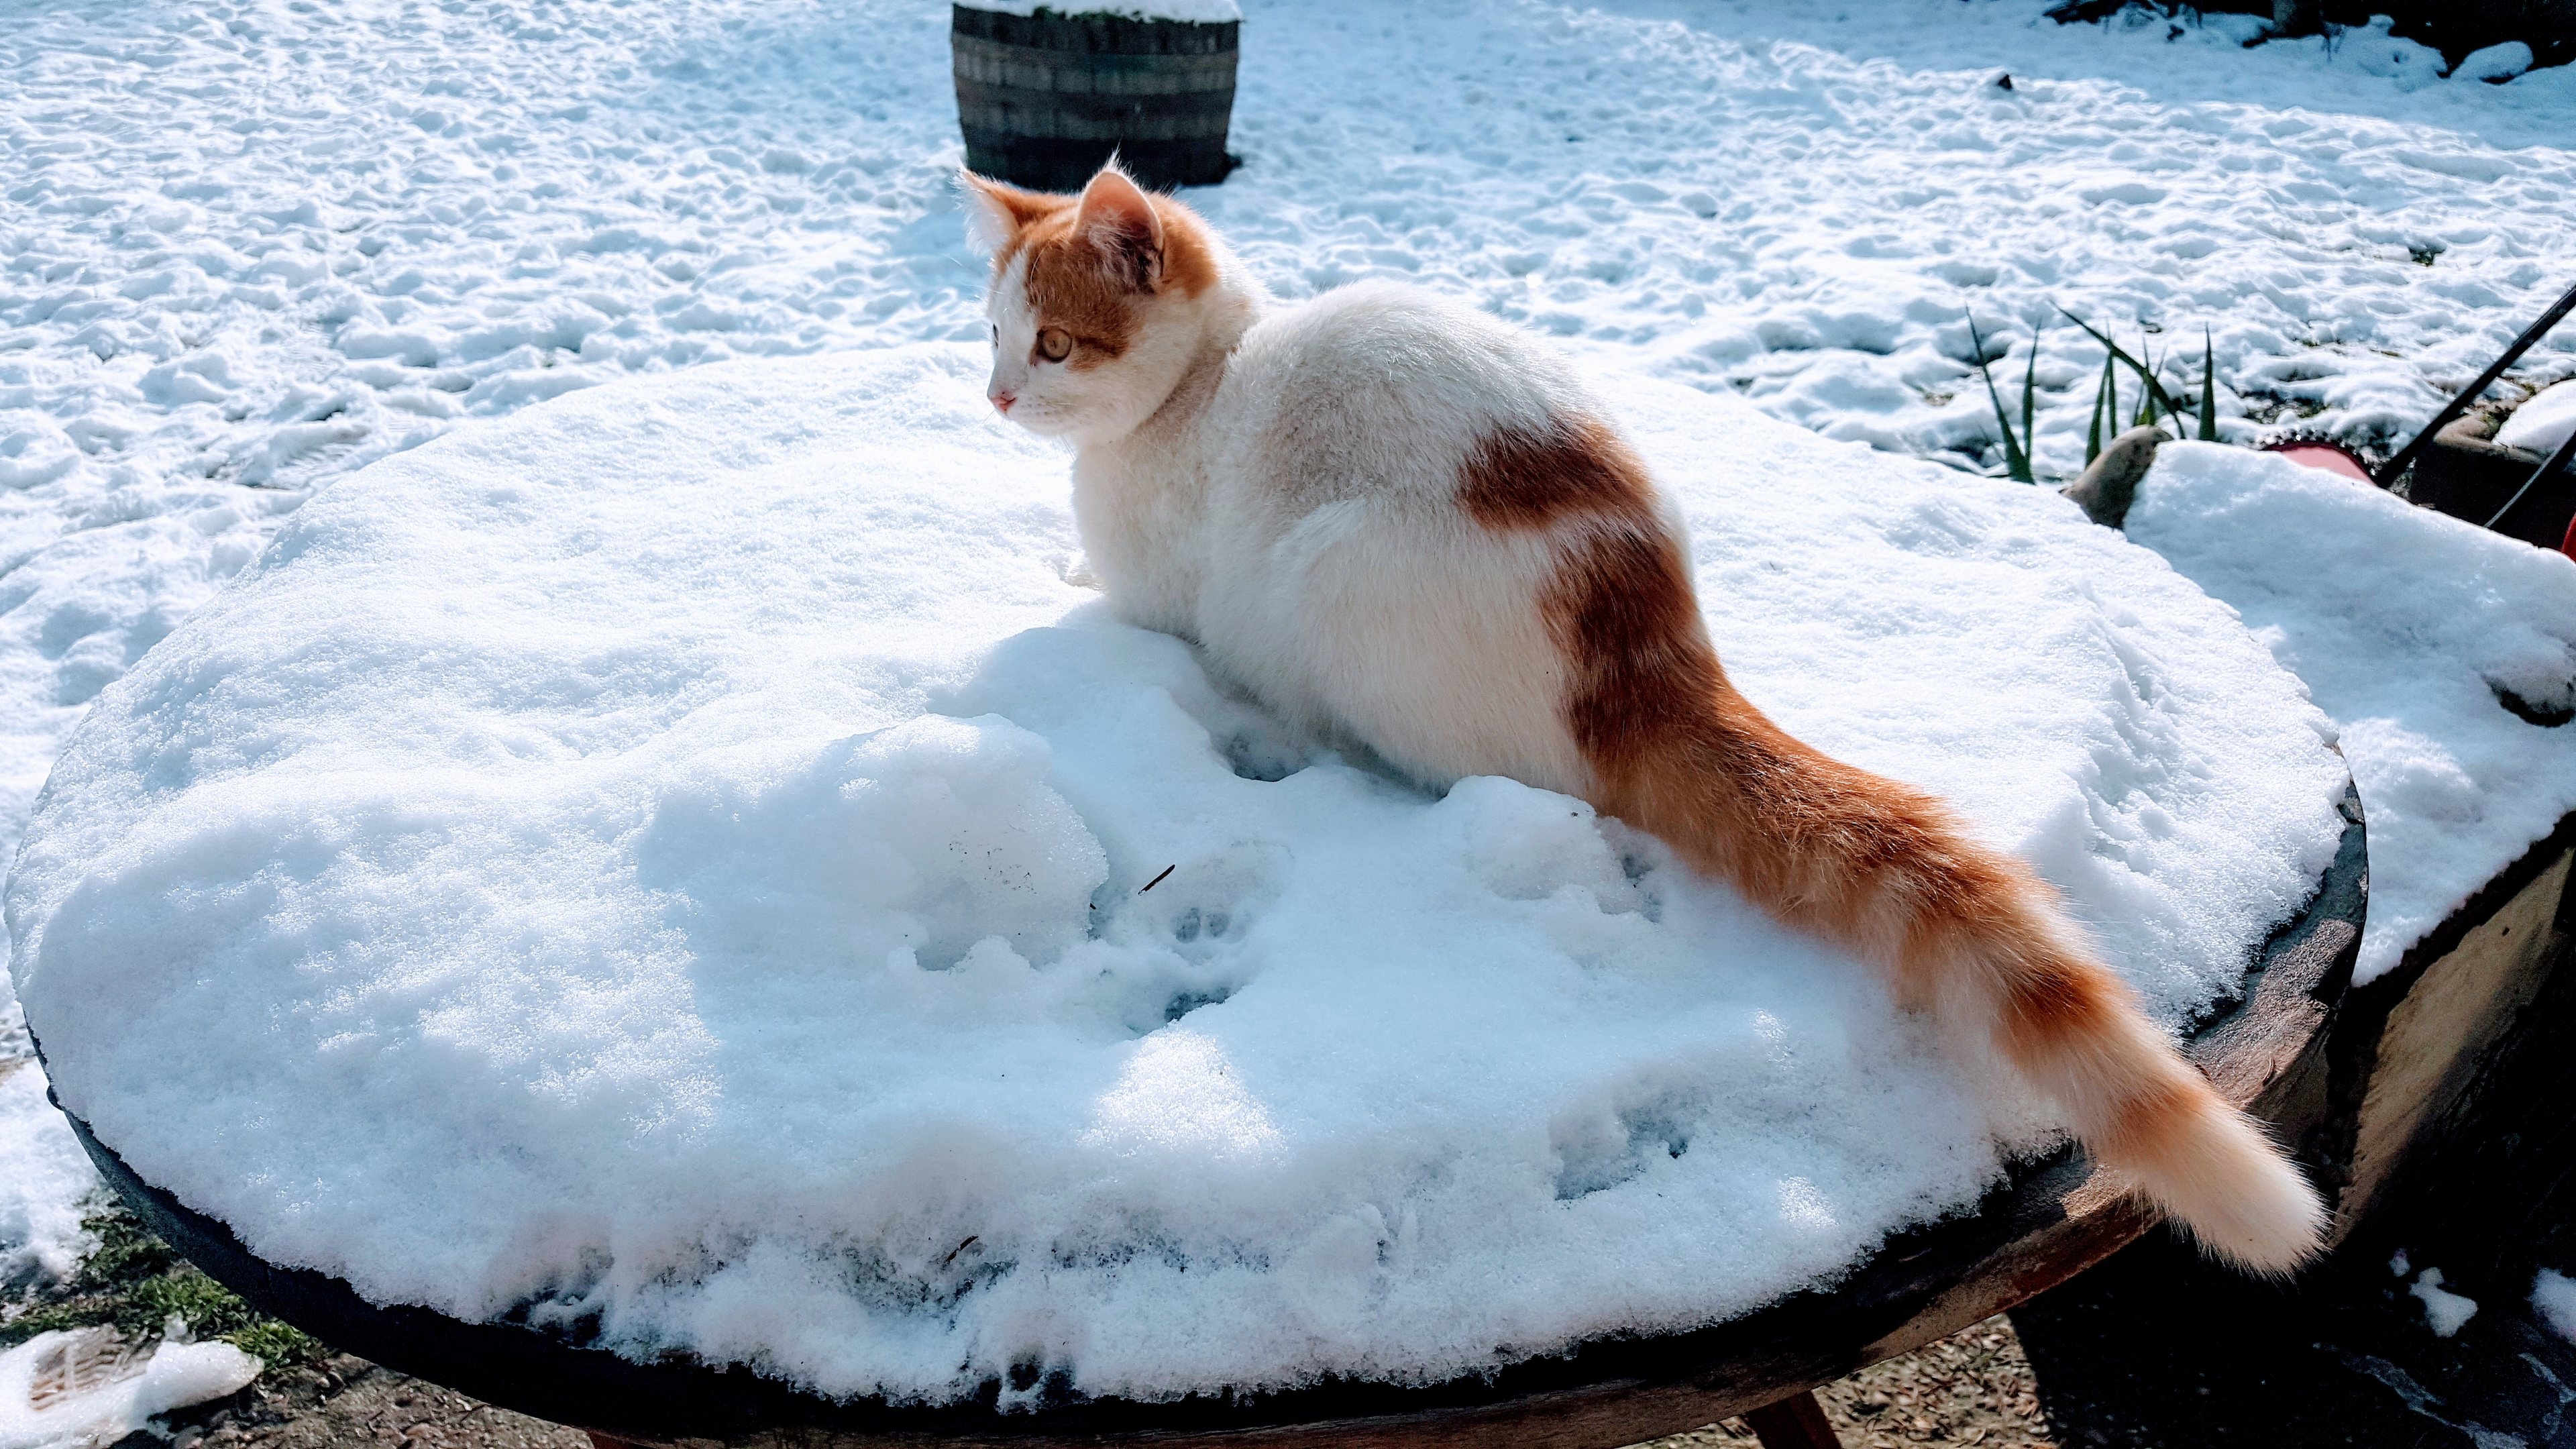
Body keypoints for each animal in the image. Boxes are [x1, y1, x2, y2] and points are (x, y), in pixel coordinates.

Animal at [968, 160, 2339, 1263]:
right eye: (989, 333)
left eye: (1054, 345)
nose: (992, 400)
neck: (1213, 379)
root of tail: (1649, 660)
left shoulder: (1164, 590)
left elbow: (1116, 600)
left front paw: (1062, 581)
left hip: (1324, 575)